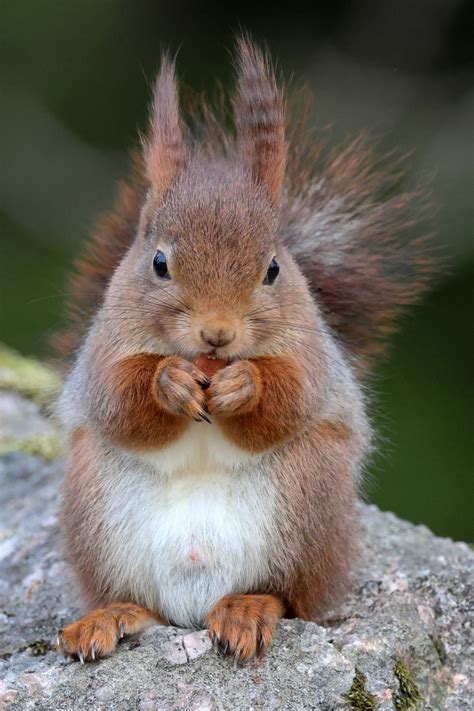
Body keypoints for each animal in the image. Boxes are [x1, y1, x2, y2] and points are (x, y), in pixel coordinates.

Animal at [54, 38, 434, 663]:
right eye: (158, 262)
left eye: (274, 269)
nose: (217, 335)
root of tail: (194, 602)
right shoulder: (102, 350)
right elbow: (118, 399)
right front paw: (168, 381)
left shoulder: (312, 356)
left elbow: (291, 396)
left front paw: (243, 386)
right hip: (96, 509)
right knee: (143, 604)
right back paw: (110, 615)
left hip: (307, 503)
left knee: (293, 597)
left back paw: (248, 607)